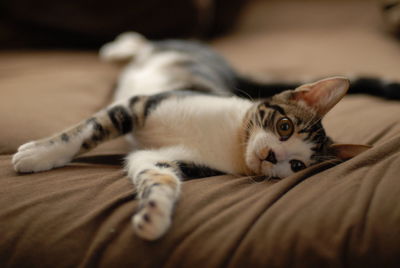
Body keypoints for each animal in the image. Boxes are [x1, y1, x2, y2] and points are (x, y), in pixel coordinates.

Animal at [10, 32, 372, 240]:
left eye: (297, 165)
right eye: (284, 127)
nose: (272, 157)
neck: (231, 142)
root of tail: (228, 66)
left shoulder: (159, 156)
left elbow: (159, 176)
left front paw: (155, 215)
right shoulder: (141, 104)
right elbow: (88, 131)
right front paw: (38, 154)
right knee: (147, 43)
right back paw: (119, 47)